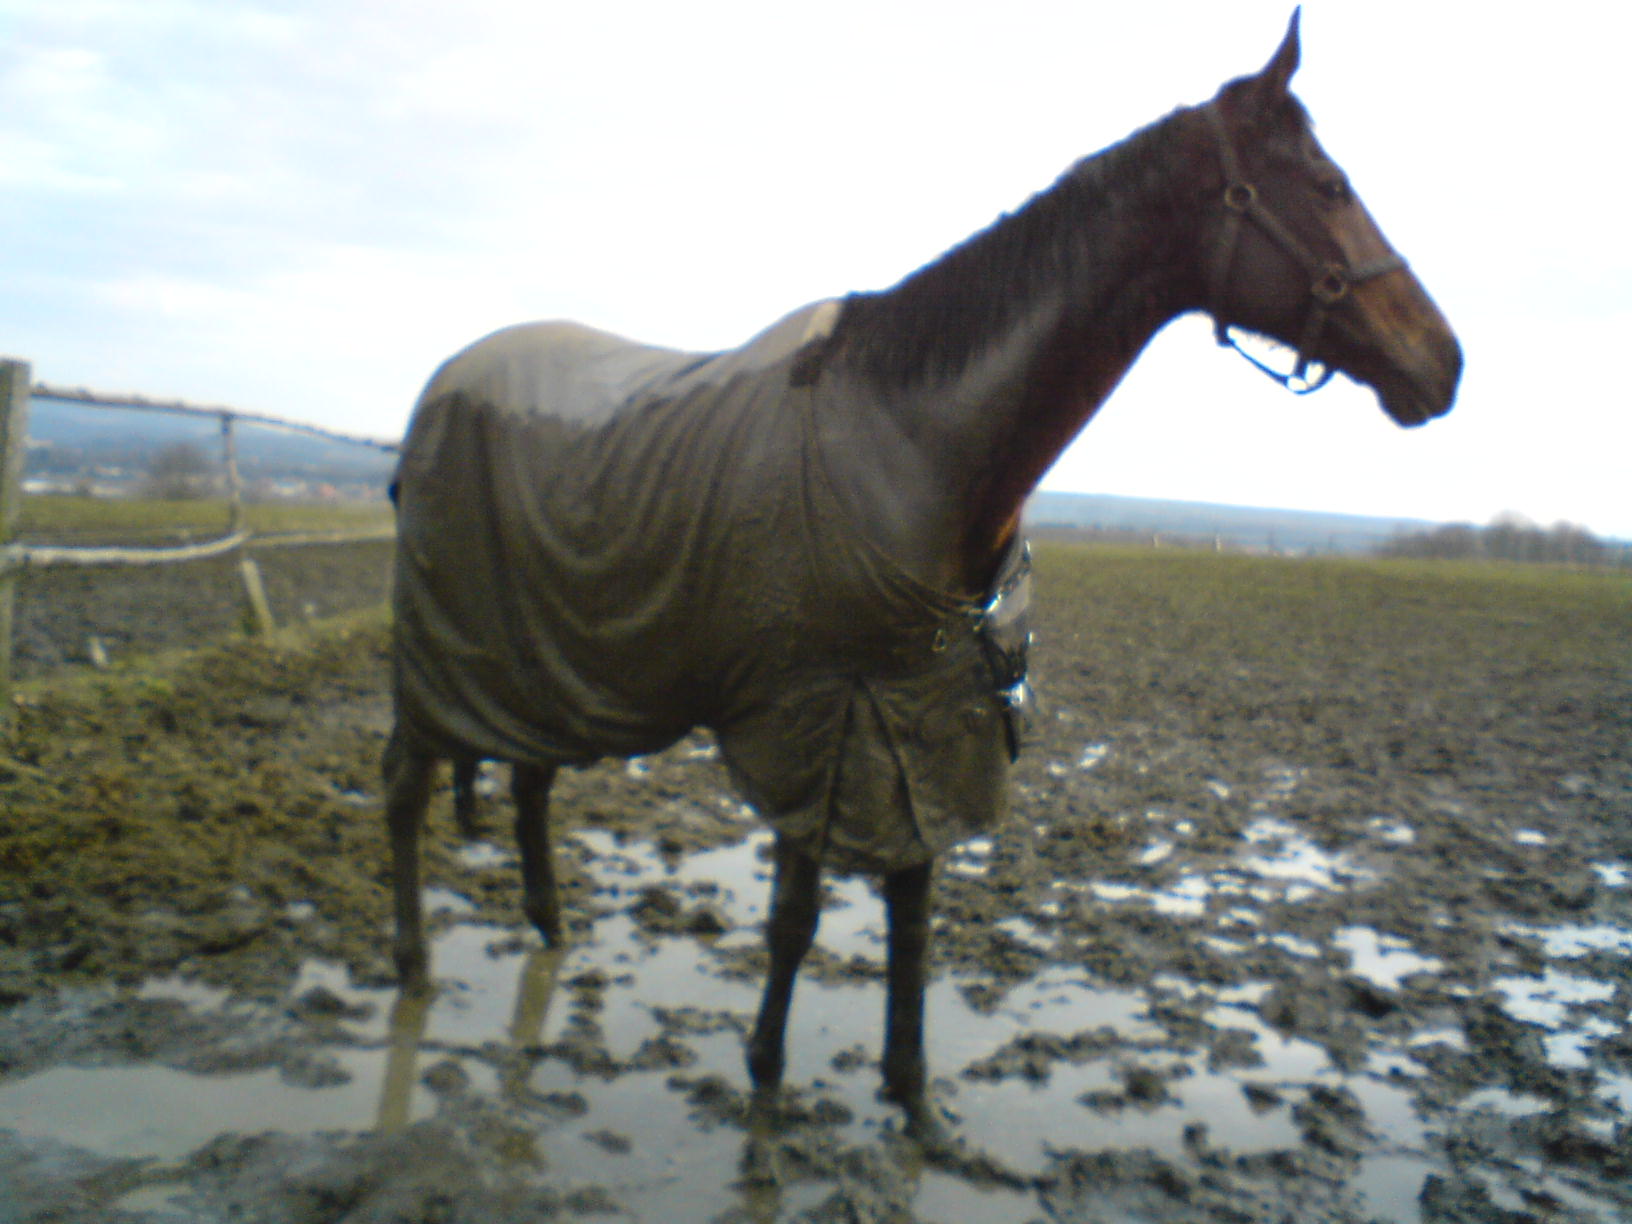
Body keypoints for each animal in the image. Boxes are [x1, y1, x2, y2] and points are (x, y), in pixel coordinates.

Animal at [385, 9, 1468, 1148]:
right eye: (1329, 184)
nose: (1443, 363)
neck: (912, 439)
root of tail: (440, 391)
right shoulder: (818, 721)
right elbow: (796, 921)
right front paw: (765, 1086)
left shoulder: (923, 720)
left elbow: (914, 909)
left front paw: (913, 1099)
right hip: (443, 657)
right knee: (408, 787)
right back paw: (413, 967)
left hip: (546, 662)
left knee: (530, 778)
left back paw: (550, 931)